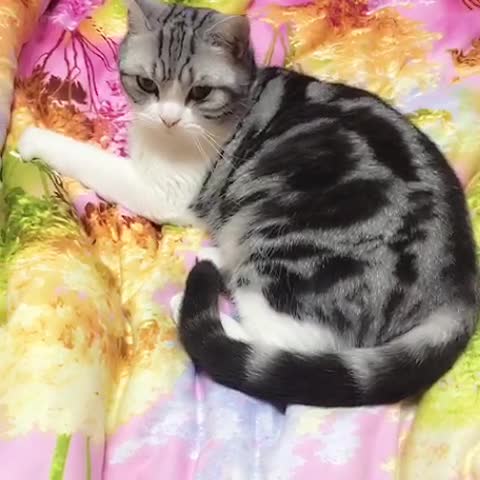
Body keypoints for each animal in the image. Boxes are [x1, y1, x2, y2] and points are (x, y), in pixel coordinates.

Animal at [18, 0, 478, 407]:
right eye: (147, 84)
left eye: (201, 92)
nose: (168, 118)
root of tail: (457, 287)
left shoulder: (162, 191)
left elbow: (92, 159)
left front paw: (35, 139)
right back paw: (214, 259)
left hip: (292, 245)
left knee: (292, 341)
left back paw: (194, 302)